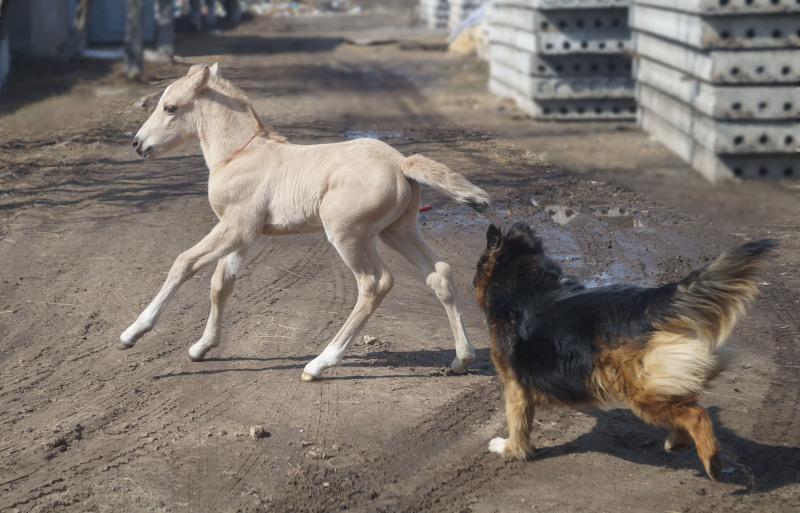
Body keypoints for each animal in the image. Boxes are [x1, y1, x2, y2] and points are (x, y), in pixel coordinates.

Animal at [121, 63, 490, 382]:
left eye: (170, 108)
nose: (138, 143)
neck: (240, 156)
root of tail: (401, 164)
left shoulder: (236, 226)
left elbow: (184, 263)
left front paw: (132, 333)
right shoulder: (244, 234)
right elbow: (221, 283)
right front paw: (201, 347)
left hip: (348, 234)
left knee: (375, 283)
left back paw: (319, 364)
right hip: (397, 231)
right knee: (440, 273)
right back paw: (462, 359)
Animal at [474, 222, 776, 479]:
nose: (471, 282)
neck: (526, 279)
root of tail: (644, 301)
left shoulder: (515, 386)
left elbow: (517, 423)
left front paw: (509, 448)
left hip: (640, 394)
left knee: (696, 414)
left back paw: (710, 460)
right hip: (655, 382)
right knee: (687, 402)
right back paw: (676, 441)